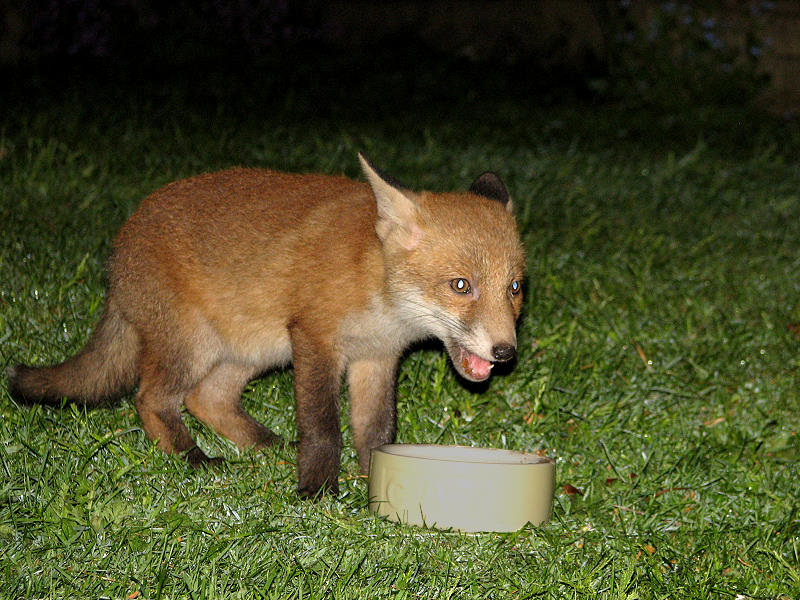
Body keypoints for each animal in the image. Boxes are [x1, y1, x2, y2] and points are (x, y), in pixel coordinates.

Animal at [7, 154, 525, 498]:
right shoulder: (315, 338)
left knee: (206, 398)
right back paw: (195, 459)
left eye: (515, 288)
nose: (506, 353)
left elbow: (375, 432)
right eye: (461, 285)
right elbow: (323, 427)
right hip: (195, 345)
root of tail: (121, 249)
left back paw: (267, 446)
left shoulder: (376, 358)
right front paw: (316, 491)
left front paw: (371, 478)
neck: (376, 285)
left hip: (253, 350)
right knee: (151, 399)